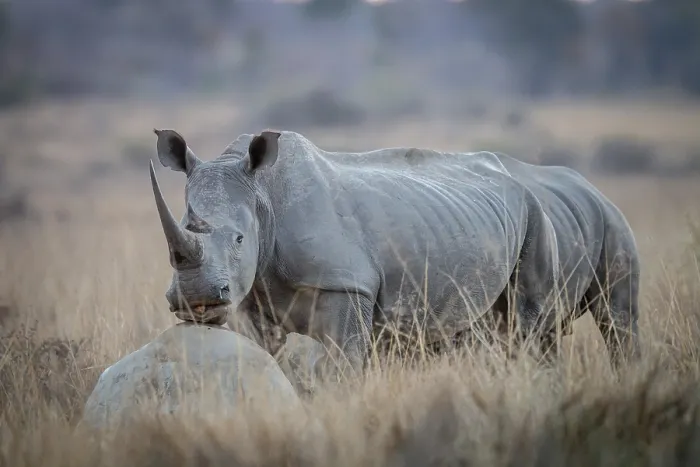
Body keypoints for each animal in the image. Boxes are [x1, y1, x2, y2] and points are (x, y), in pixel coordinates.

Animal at [148, 128, 640, 375]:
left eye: (238, 240)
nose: (195, 299)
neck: (263, 197)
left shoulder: (348, 287)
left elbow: (341, 366)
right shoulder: (254, 296)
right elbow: (262, 359)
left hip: (557, 215)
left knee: (564, 323)